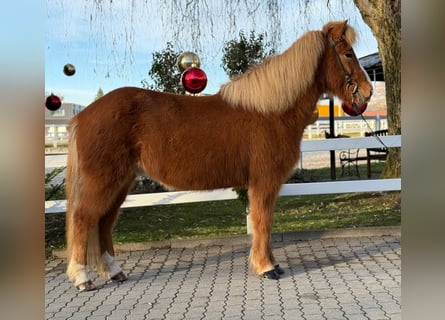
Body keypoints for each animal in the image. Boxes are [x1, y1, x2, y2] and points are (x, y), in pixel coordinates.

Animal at [65, 19, 372, 290]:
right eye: (348, 53)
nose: (367, 92)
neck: (271, 111)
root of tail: (84, 115)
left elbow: (265, 223)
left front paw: (272, 263)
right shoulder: (264, 182)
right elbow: (263, 222)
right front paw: (266, 267)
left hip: (121, 182)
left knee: (104, 222)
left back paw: (114, 272)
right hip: (104, 181)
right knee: (83, 219)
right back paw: (82, 278)